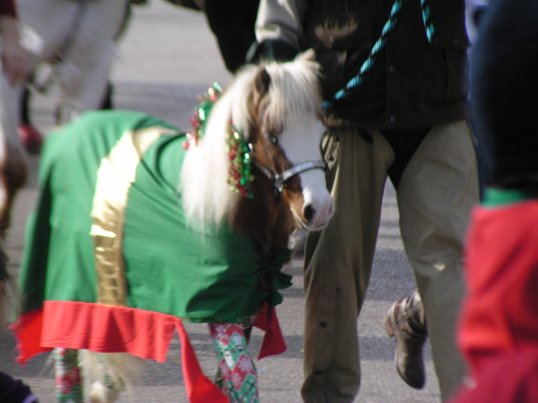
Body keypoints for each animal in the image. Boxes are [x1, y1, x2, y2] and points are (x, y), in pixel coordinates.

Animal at [12, 53, 334, 402]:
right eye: (273, 136)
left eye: (320, 132)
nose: (319, 209)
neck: (224, 208)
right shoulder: (223, 309)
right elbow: (244, 377)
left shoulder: (244, 304)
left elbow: (232, 379)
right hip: (70, 278)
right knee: (65, 350)